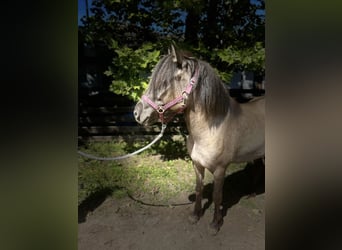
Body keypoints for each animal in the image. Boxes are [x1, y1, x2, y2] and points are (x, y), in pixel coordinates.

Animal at [134, 45, 264, 234]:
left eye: (166, 82)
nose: (137, 113)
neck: (211, 129)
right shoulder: (197, 164)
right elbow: (199, 189)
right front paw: (195, 216)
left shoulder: (220, 169)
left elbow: (217, 196)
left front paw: (215, 224)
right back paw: (251, 193)